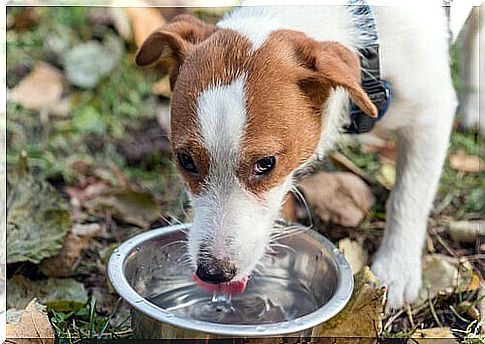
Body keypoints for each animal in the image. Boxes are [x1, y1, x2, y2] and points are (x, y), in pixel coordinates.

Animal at [136, 0, 458, 310]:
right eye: (186, 160)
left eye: (266, 164)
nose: (213, 273)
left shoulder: (431, 118)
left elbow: (408, 199)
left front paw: (396, 269)